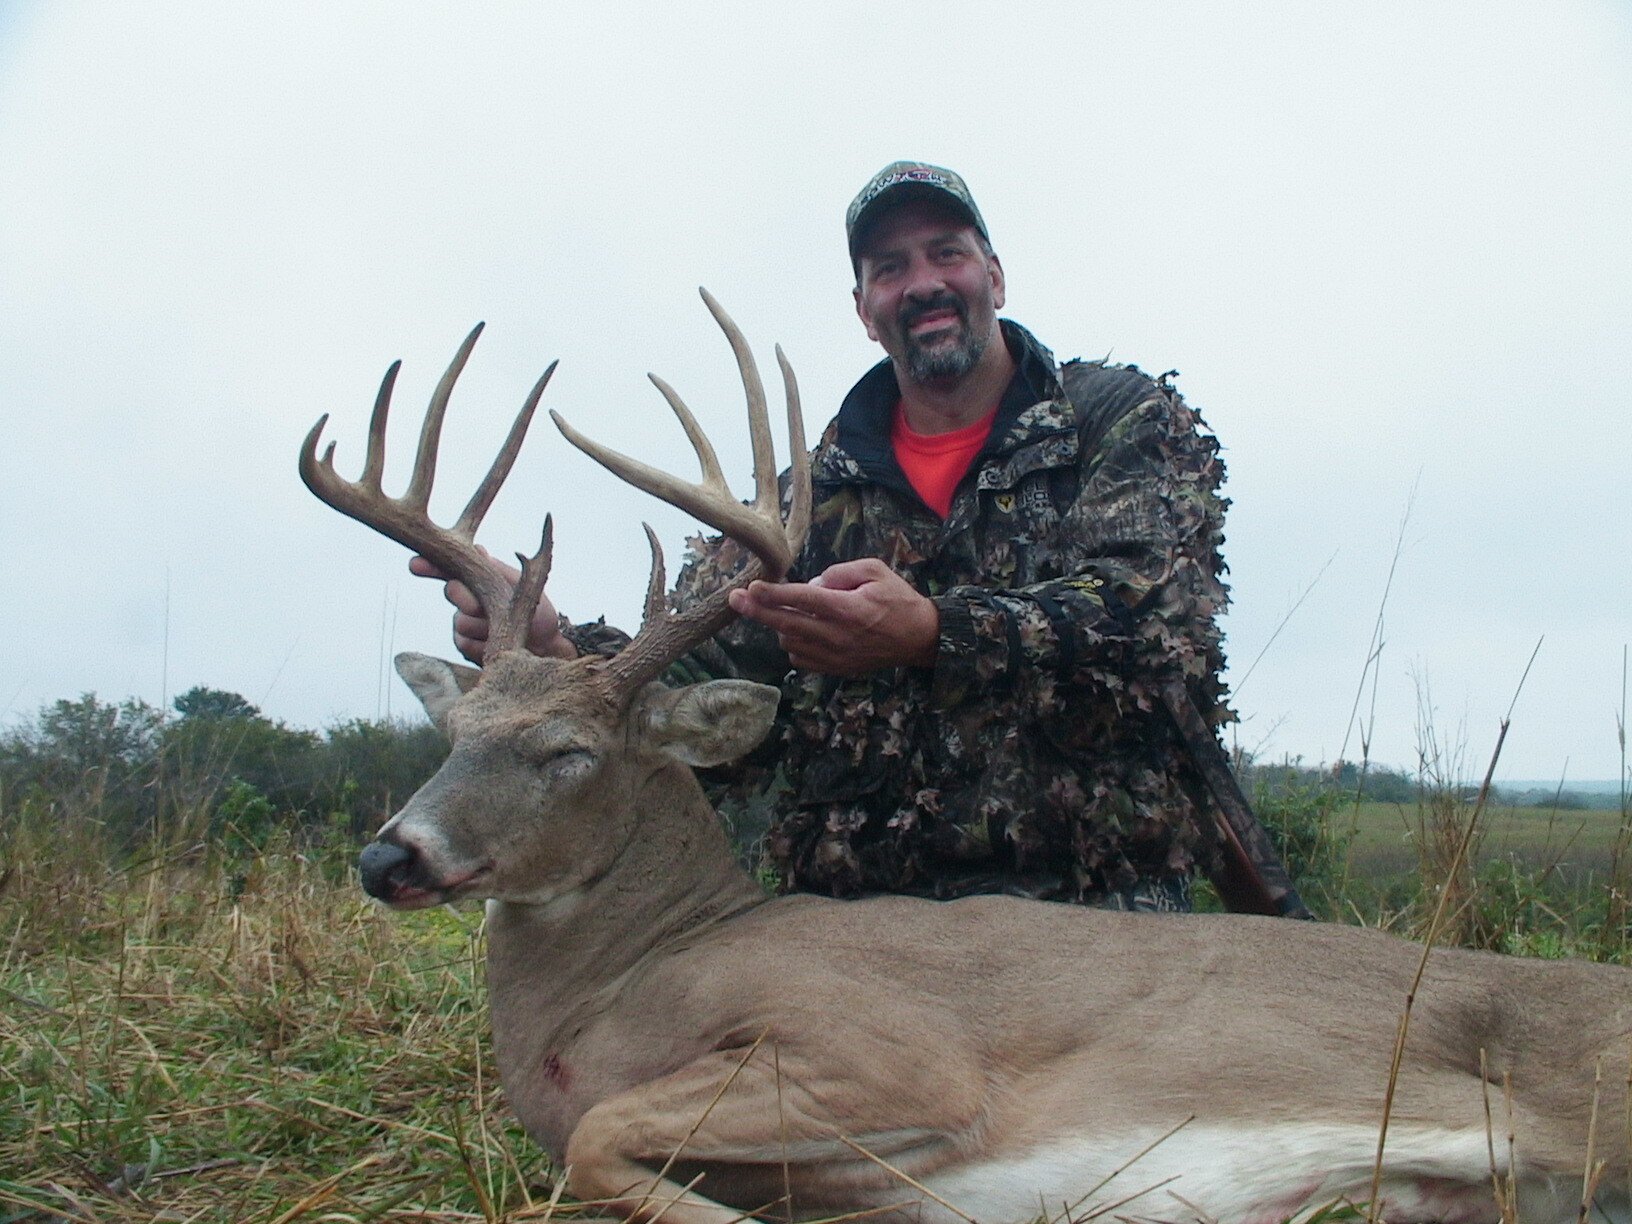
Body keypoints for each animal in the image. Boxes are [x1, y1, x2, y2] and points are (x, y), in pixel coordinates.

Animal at [300, 291, 1632, 1224]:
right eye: (455, 733)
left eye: (568, 751)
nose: (390, 857)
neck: (630, 982)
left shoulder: (888, 1056)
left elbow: (595, 1143)